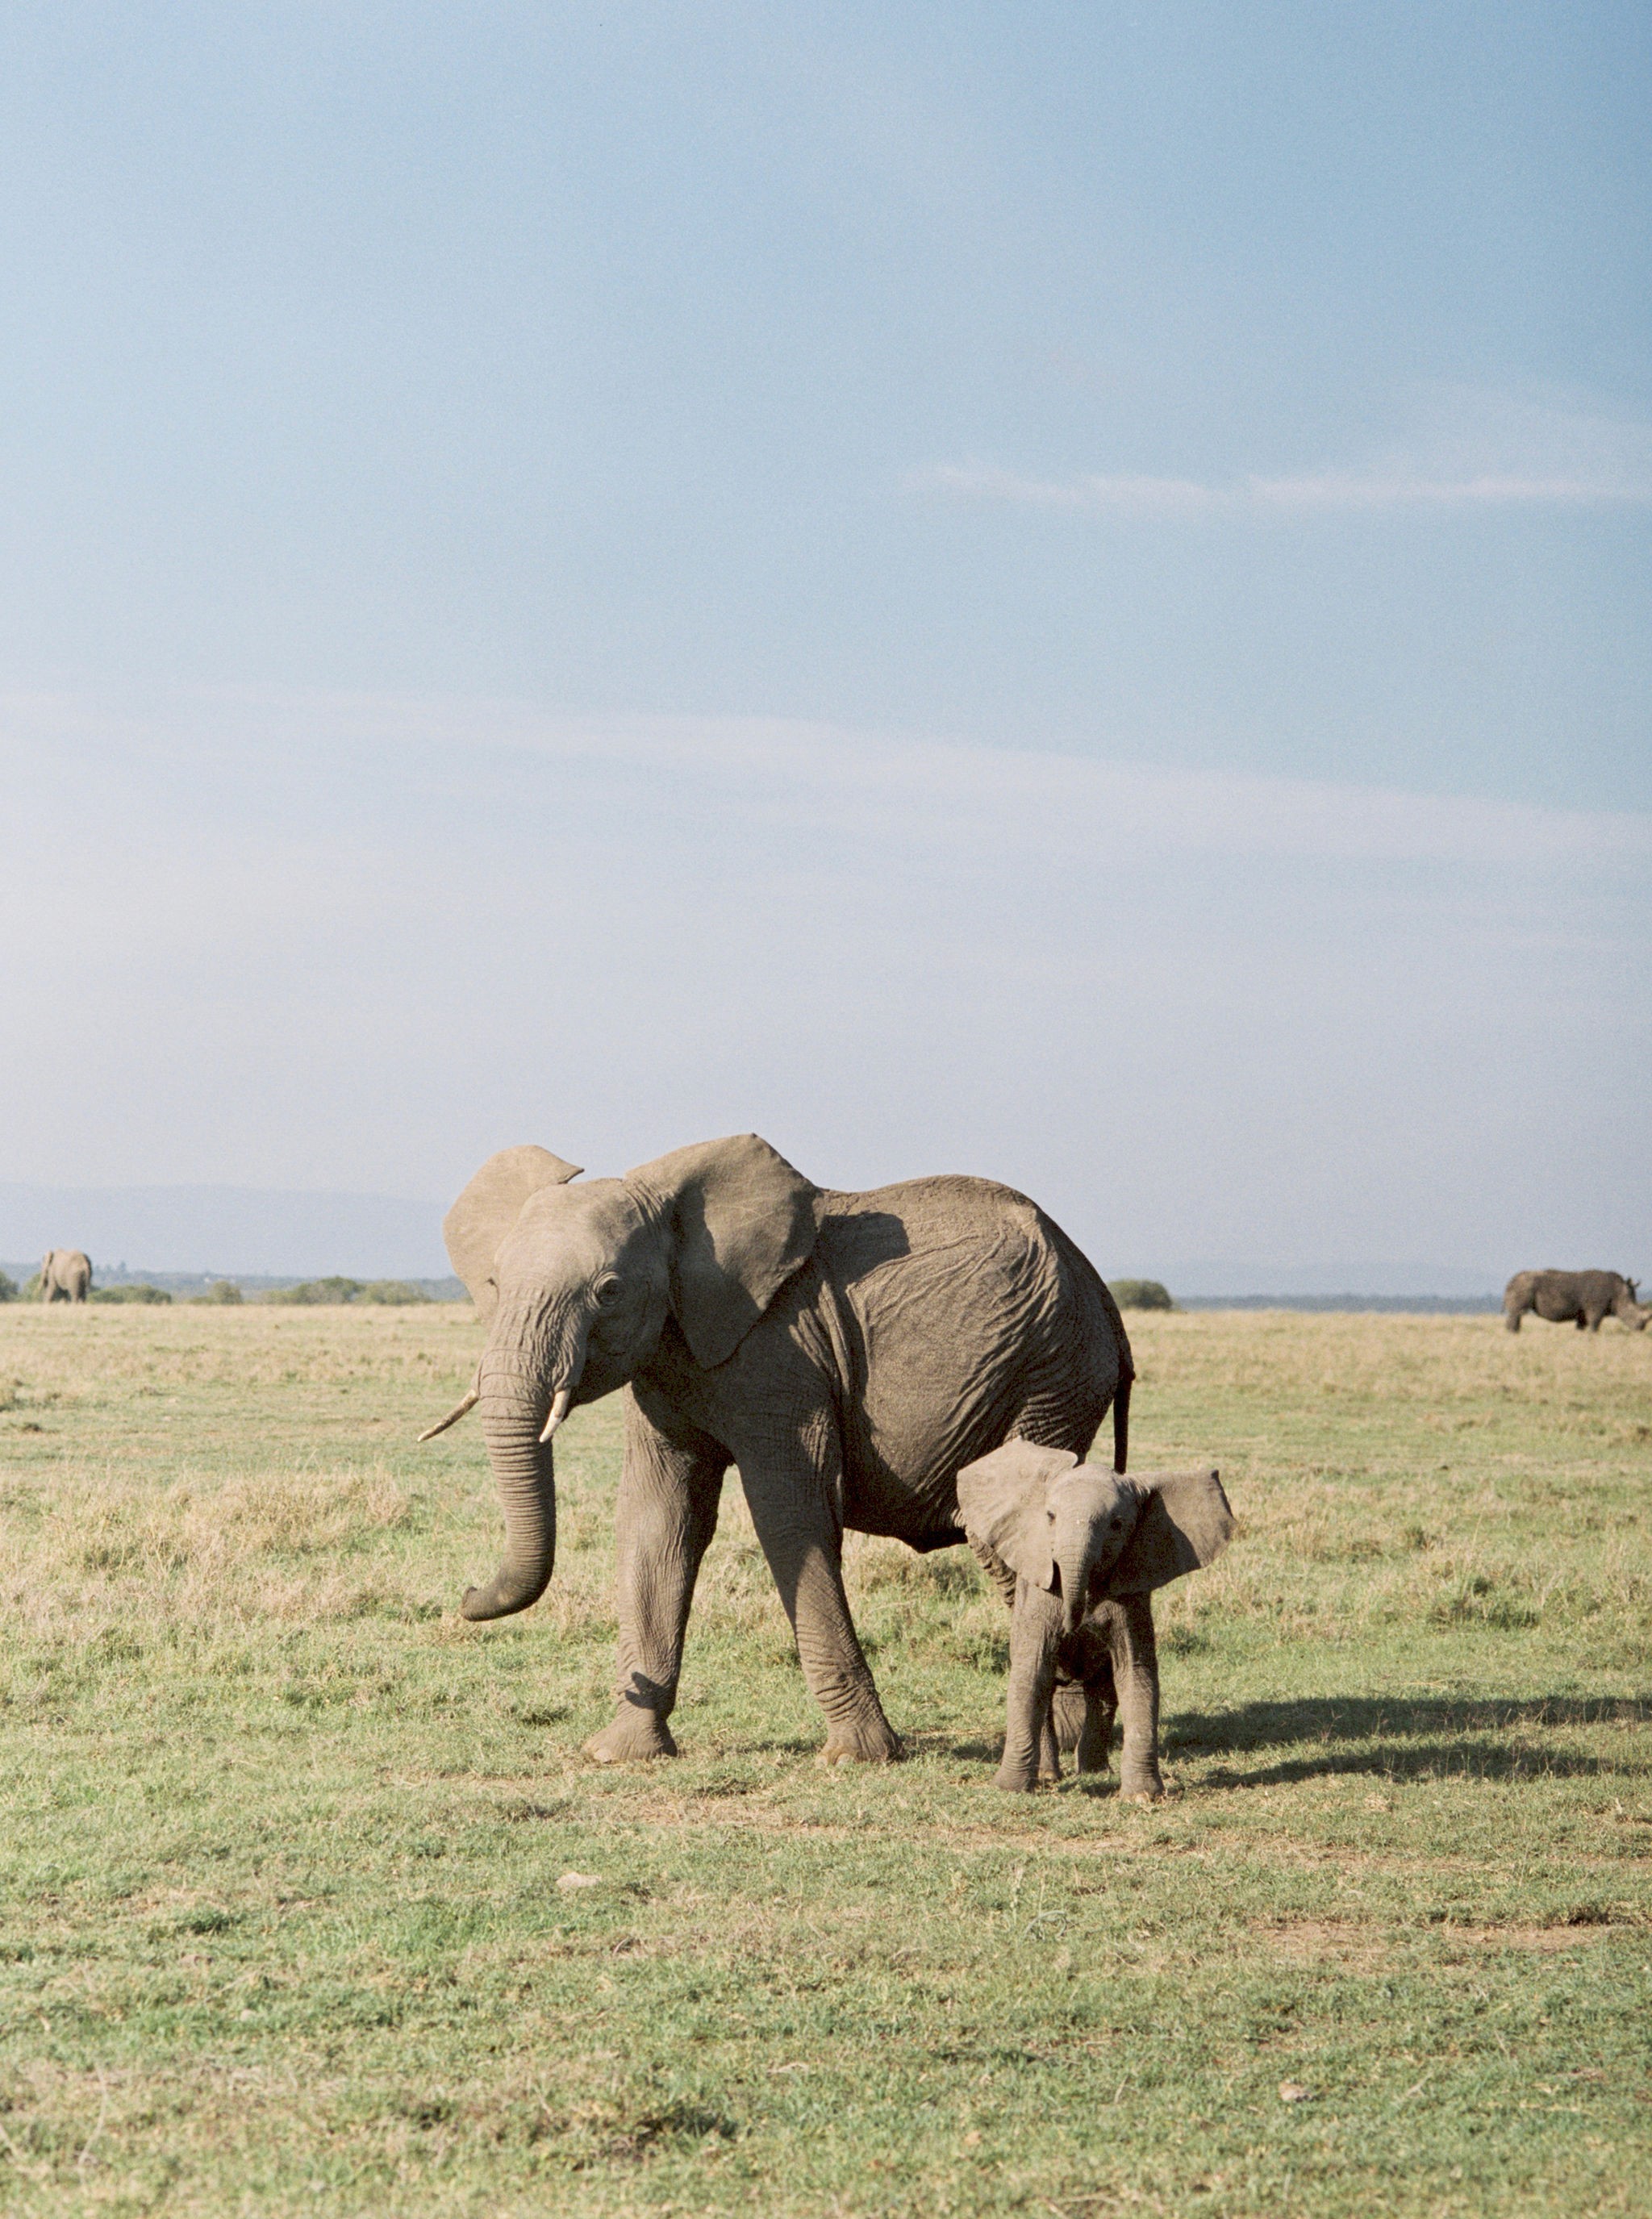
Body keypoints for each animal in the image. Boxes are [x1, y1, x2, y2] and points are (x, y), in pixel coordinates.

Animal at [420, 1134, 1134, 1765]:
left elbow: (789, 1512)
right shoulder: (666, 1362)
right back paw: (1079, 1736)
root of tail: (1101, 1289)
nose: (466, 1593)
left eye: (609, 1290)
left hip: (1052, 1370)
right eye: (493, 1281)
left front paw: (856, 1757)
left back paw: (1075, 1736)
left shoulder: (785, 1354)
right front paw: (617, 1753)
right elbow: (659, 1521)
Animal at [957, 1440, 1233, 1796]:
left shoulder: (1132, 1594)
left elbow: (1135, 1674)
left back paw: (1095, 1771)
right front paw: (1009, 1789)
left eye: (1117, 1524)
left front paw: (1142, 1796)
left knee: (1103, 1691)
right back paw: (1050, 1776)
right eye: (1050, 1517)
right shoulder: (1039, 1593)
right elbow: (1032, 1673)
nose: (1075, 1627)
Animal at [1503, 1270, 1648, 1333]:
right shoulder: (1595, 1308)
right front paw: (1592, 1336)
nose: (1640, 1329)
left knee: (1516, 1314)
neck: (1618, 1292)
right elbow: (1595, 1324)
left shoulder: (1583, 1312)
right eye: (1630, 1310)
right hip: (1522, 1287)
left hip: (1522, 1287)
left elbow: (1581, 1326)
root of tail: (1510, 1282)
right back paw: (1513, 1334)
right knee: (1517, 1313)